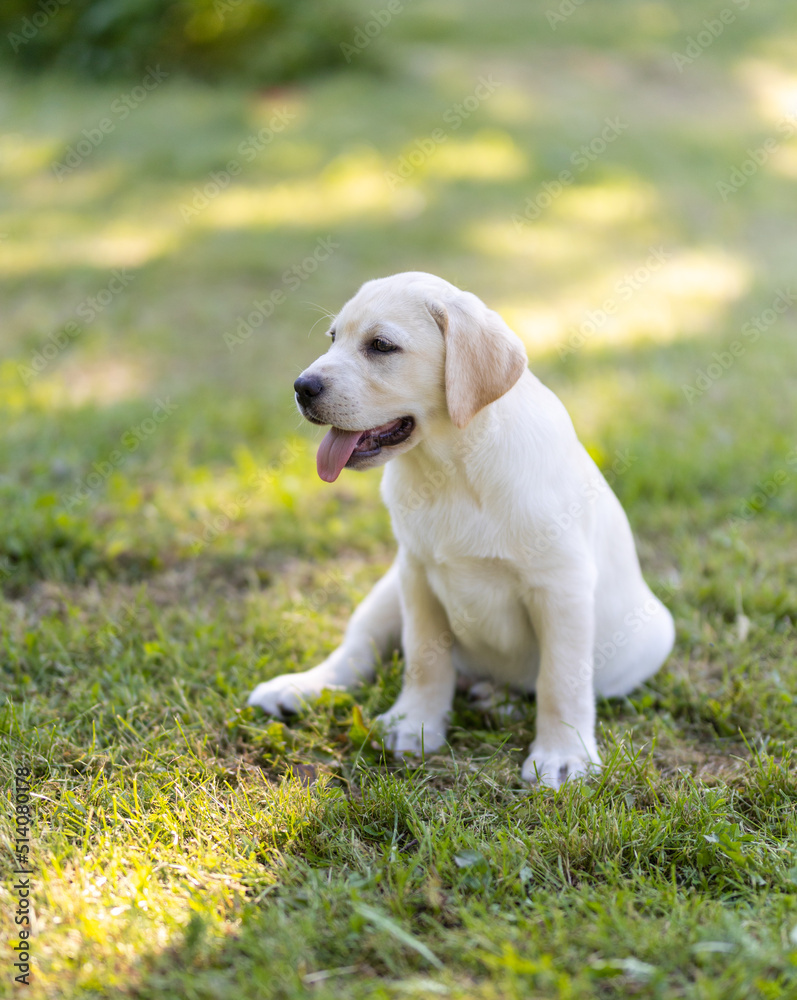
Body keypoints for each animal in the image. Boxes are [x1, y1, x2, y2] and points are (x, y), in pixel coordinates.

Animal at [247, 274, 672, 788]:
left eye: (381, 346)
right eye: (333, 338)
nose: (301, 387)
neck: (450, 468)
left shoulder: (561, 587)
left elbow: (561, 679)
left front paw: (563, 755)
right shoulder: (417, 575)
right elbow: (424, 661)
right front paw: (415, 723)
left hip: (652, 637)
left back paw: (497, 699)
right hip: (386, 591)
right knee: (354, 654)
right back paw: (297, 688)